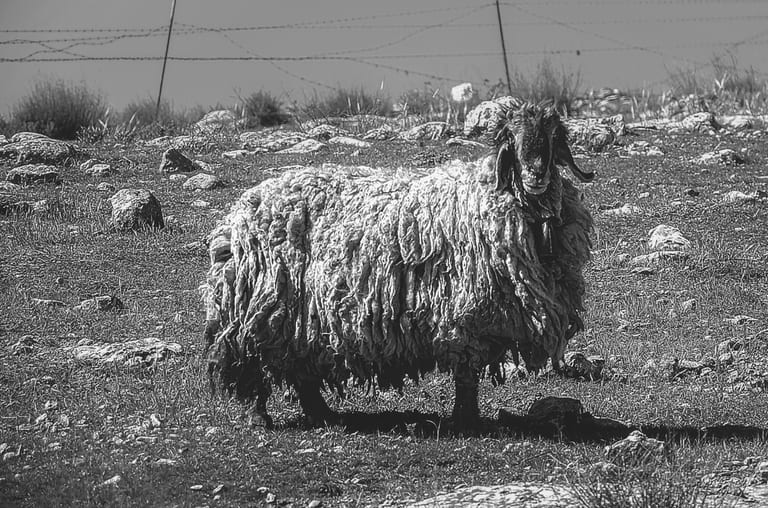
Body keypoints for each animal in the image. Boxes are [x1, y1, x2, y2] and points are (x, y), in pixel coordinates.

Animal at [202, 101, 594, 431]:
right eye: (512, 138)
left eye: (552, 137)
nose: (536, 174)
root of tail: (238, 215)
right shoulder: (464, 317)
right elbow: (466, 375)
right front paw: (466, 421)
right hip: (259, 309)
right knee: (255, 362)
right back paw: (259, 417)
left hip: (301, 321)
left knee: (302, 372)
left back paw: (323, 414)